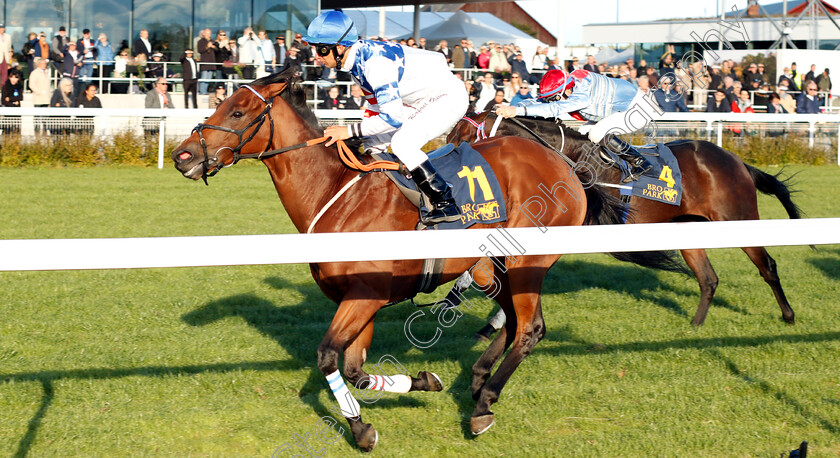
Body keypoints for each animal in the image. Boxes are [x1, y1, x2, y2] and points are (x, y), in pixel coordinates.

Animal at [171, 71, 676, 450]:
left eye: (237, 111)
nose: (182, 155)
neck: (338, 196)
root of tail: (566, 166)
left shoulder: (365, 296)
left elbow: (328, 357)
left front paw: (362, 428)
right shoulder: (362, 301)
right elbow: (353, 369)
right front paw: (421, 384)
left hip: (526, 262)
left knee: (530, 328)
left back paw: (483, 405)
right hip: (491, 267)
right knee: (516, 323)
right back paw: (477, 382)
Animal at [446, 110, 800, 326]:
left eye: (460, 141)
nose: (443, 188)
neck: (569, 158)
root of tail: (738, 161)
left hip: (738, 217)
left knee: (768, 266)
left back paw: (788, 315)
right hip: (689, 228)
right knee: (708, 279)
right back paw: (695, 325)